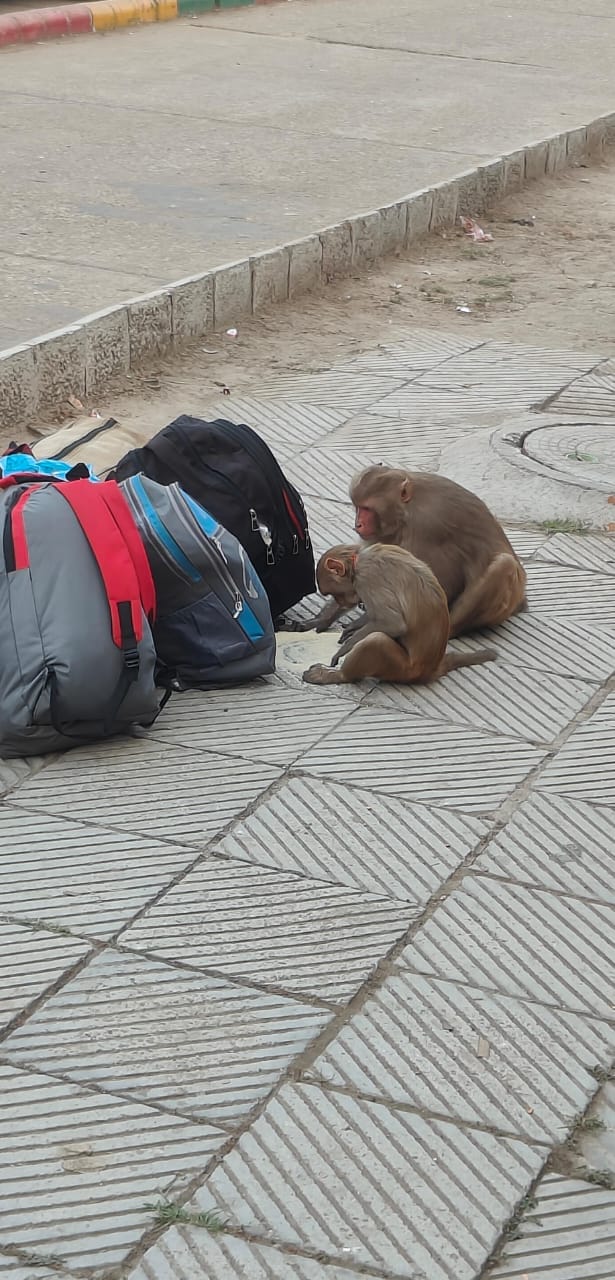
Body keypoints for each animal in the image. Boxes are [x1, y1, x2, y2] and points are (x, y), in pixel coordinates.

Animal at [302, 543, 497, 687]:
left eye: (335, 594)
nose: (341, 603)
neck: (358, 559)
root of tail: (431, 668)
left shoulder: (367, 578)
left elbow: (393, 623)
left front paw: (344, 649)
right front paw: (351, 627)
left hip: (400, 668)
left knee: (376, 641)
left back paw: (340, 675)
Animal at [347, 466, 527, 638]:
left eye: (367, 509)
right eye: (358, 507)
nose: (358, 524)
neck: (407, 509)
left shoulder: (427, 525)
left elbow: (438, 581)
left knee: (504, 565)